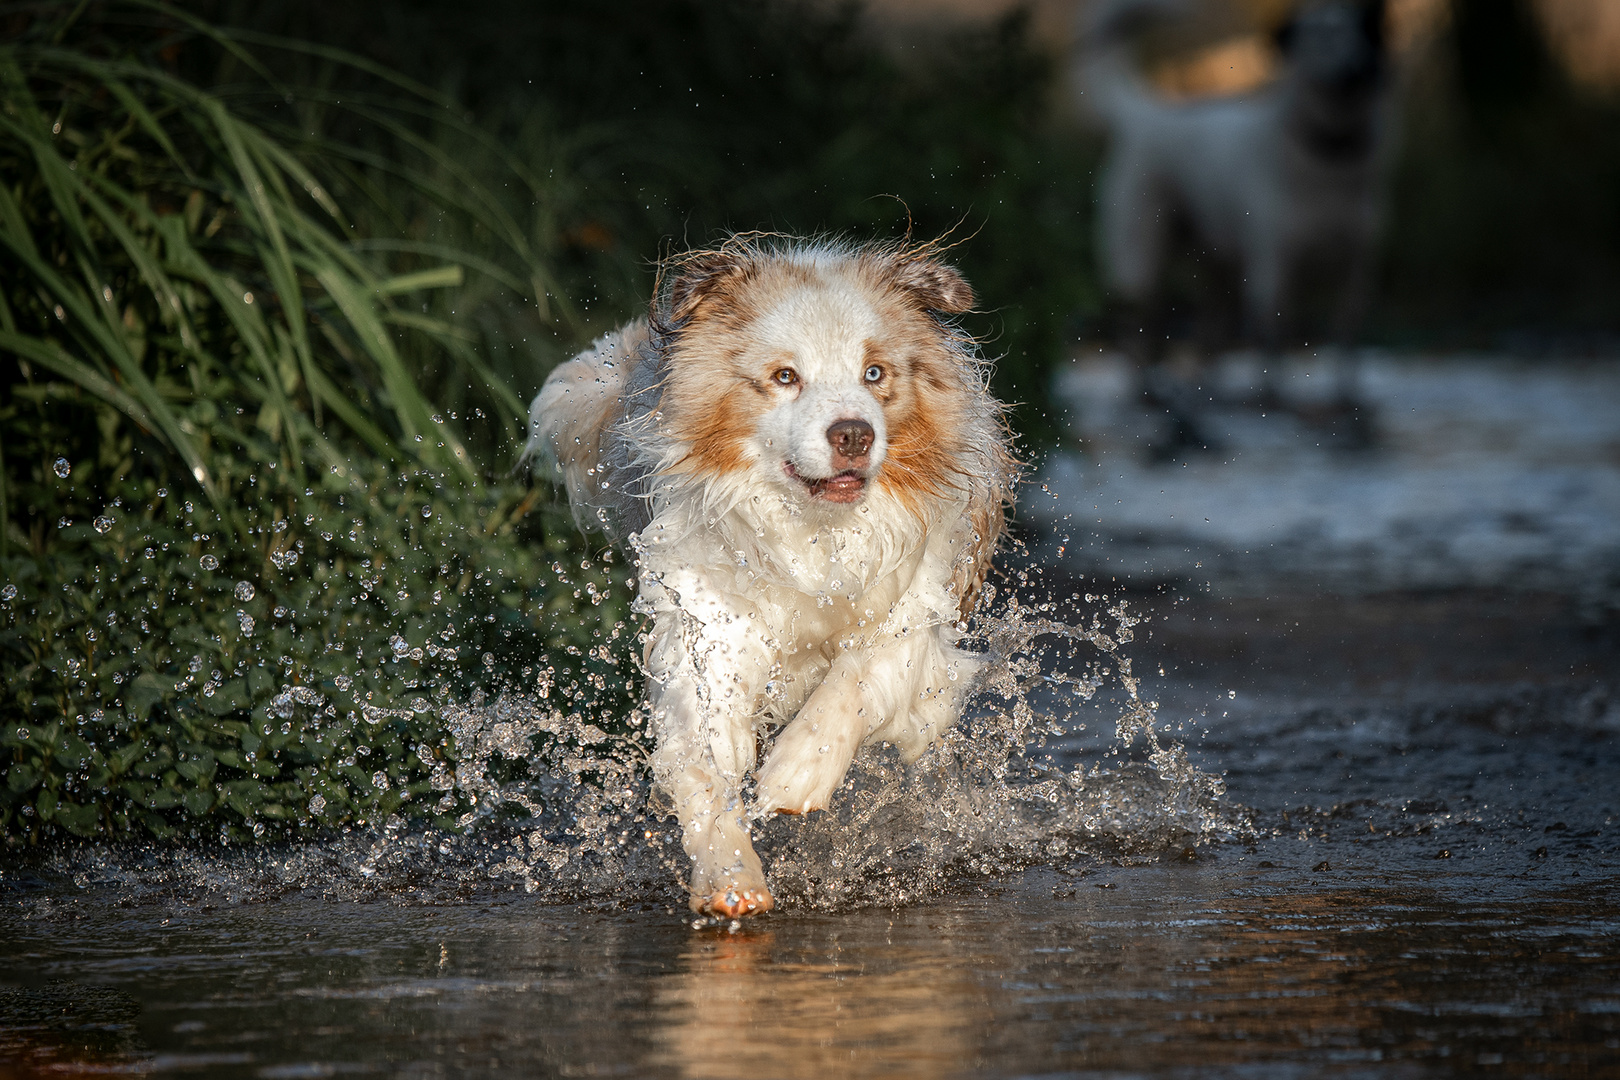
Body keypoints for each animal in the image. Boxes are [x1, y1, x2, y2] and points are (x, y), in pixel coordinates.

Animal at [528, 236, 1010, 919]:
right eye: (786, 377)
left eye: (874, 374)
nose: (853, 435)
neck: (811, 531)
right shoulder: (707, 625)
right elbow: (703, 761)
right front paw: (731, 877)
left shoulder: (918, 611)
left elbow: (858, 673)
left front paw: (794, 774)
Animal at [1075, 0, 1393, 450]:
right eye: (1317, 38)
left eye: (1360, 33)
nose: (1359, 69)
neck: (1328, 160)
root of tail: (1146, 114)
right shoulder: (1273, 270)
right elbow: (1276, 344)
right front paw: (1280, 404)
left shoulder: (1358, 270)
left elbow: (1346, 342)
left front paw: (1348, 402)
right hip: (1140, 260)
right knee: (1135, 333)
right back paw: (1152, 396)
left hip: (1217, 275)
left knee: (1207, 340)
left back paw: (1203, 396)